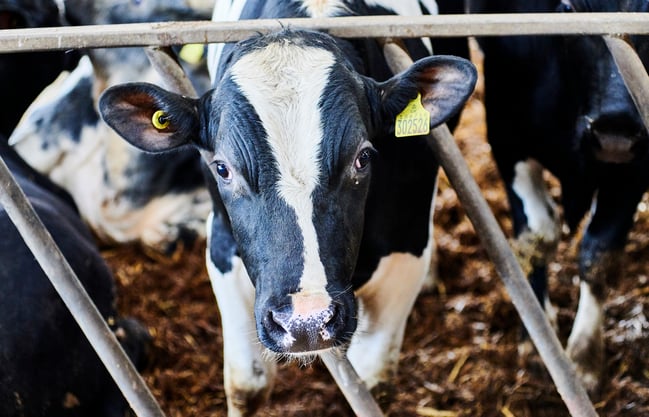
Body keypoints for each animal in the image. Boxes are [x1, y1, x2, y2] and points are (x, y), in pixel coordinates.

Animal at [100, 0, 476, 412]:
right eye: (222, 168)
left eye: (362, 157)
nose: (305, 322)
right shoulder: (223, 250)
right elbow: (246, 385)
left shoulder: (404, 253)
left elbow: (373, 384)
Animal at [470, 0, 648, 394]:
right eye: (568, 8)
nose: (615, 133)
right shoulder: (507, 138)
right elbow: (538, 236)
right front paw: (538, 340)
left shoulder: (635, 168)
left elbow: (599, 253)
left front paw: (584, 356)